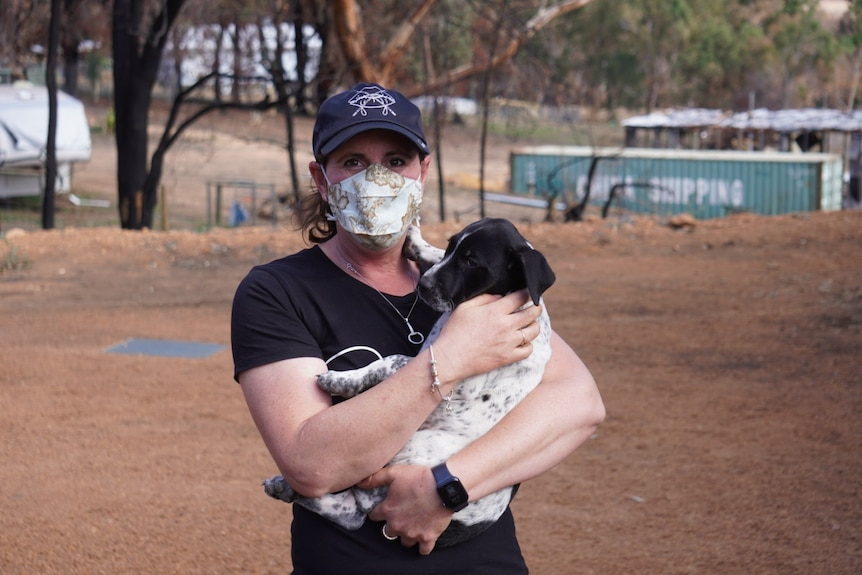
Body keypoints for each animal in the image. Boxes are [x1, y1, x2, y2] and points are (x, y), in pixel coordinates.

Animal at [264, 217, 560, 548]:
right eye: (452, 245)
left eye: (471, 261)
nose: (423, 286)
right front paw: (420, 244)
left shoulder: (453, 382)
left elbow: (390, 360)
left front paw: (342, 380)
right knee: (350, 513)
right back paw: (282, 488)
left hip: (408, 447)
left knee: (357, 509)